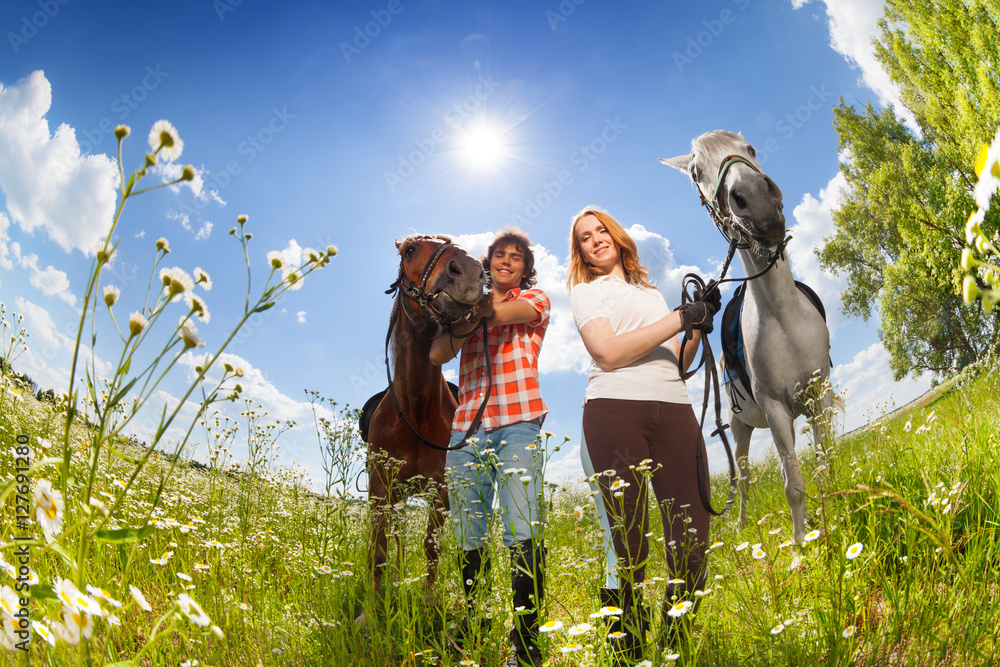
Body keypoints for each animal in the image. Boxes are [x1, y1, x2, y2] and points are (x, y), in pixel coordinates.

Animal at [358, 235, 486, 628]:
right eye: (410, 250)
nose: (470, 272)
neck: (414, 410)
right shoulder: (380, 491)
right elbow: (379, 550)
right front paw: (371, 610)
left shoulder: (439, 491)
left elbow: (431, 546)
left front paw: (429, 601)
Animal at [664, 132, 836, 548]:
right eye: (695, 172)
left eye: (752, 150)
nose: (756, 199)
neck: (785, 319)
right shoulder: (776, 410)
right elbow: (793, 485)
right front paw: (802, 545)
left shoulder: (819, 397)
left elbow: (825, 466)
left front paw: (837, 519)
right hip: (741, 429)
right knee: (741, 477)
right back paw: (742, 527)